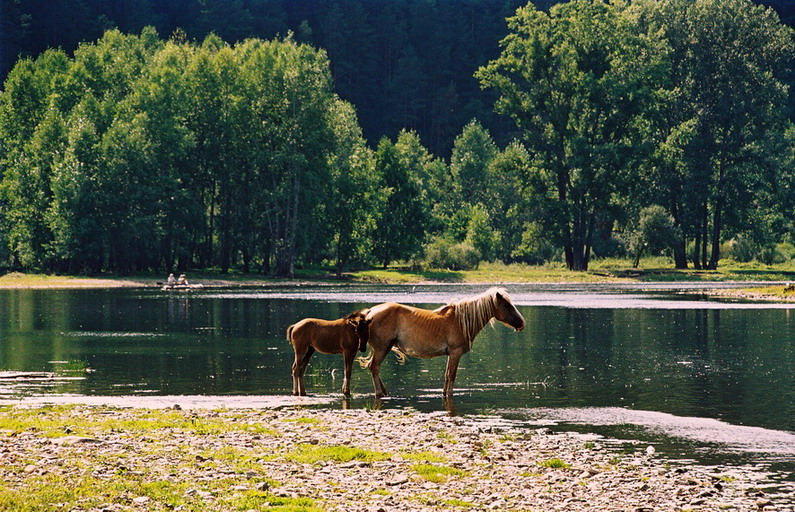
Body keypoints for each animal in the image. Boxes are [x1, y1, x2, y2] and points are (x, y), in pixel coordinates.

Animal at [360, 288, 524, 396]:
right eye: (506, 305)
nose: (522, 323)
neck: (461, 320)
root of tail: (370, 312)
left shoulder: (451, 354)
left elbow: (447, 375)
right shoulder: (456, 353)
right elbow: (451, 375)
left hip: (385, 348)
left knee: (373, 367)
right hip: (382, 348)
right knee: (374, 367)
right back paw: (379, 393)